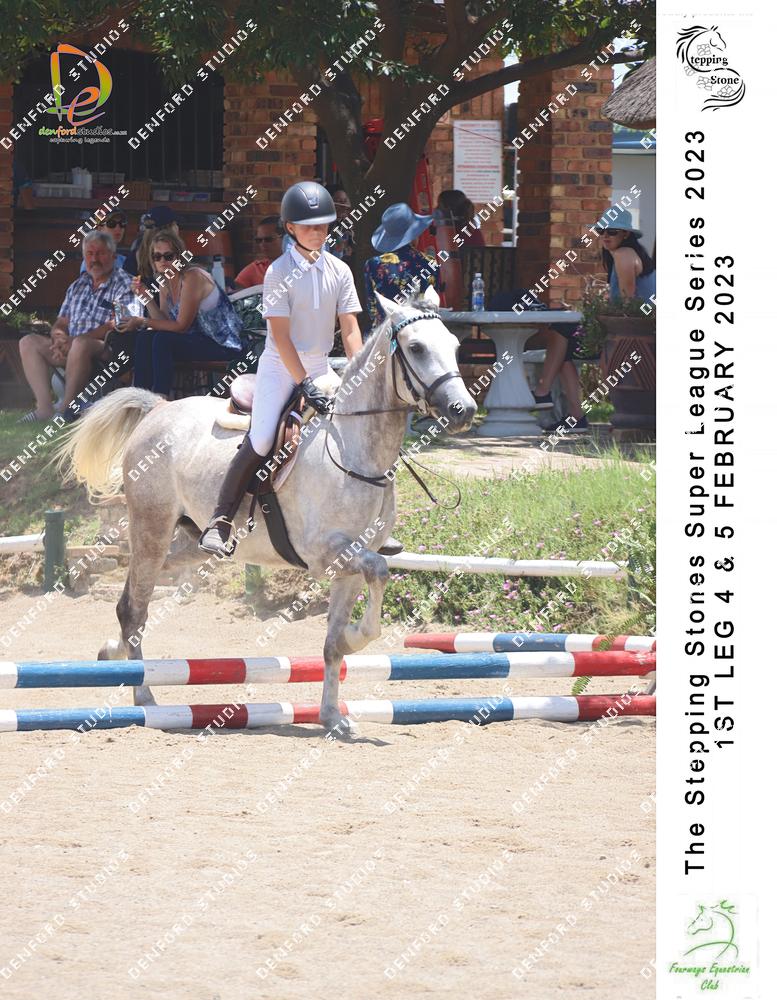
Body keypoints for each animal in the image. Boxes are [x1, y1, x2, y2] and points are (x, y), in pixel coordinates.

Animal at [56, 287, 477, 738]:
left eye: (455, 346)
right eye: (416, 348)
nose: (464, 410)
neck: (354, 450)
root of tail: (159, 409)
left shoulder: (349, 566)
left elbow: (334, 642)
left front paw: (332, 716)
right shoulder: (326, 555)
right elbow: (378, 573)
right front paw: (356, 638)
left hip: (190, 542)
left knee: (137, 589)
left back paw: (111, 651)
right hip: (152, 524)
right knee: (135, 606)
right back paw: (144, 696)